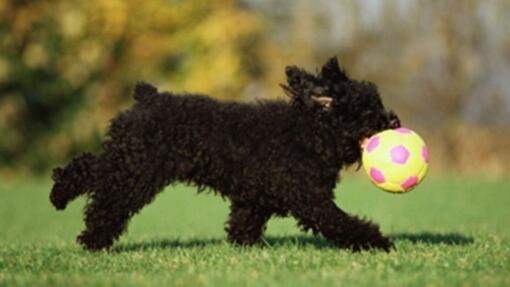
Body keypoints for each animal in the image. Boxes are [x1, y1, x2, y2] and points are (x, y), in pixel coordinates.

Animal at [51, 58, 402, 252]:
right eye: (367, 110)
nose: (394, 122)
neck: (308, 132)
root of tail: (146, 98)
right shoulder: (310, 199)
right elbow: (341, 221)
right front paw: (377, 242)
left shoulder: (253, 198)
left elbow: (243, 225)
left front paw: (244, 247)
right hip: (136, 171)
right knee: (104, 196)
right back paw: (88, 233)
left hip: (128, 162)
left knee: (90, 168)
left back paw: (61, 198)